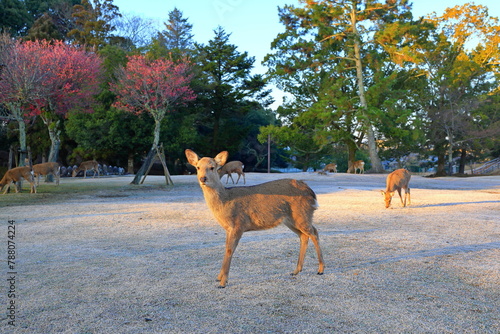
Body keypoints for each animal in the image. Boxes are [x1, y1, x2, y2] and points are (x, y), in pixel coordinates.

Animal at [187, 150, 324, 288]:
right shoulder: (228, 228)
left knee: (314, 232)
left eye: (212, 167)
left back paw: (320, 269)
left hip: (302, 214)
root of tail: (312, 193)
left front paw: (223, 282)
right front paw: (218, 277)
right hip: (291, 220)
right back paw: (296, 270)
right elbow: (226, 248)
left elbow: (230, 250)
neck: (225, 201)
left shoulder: (238, 224)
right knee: (304, 236)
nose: (203, 178)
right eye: (198, 167)